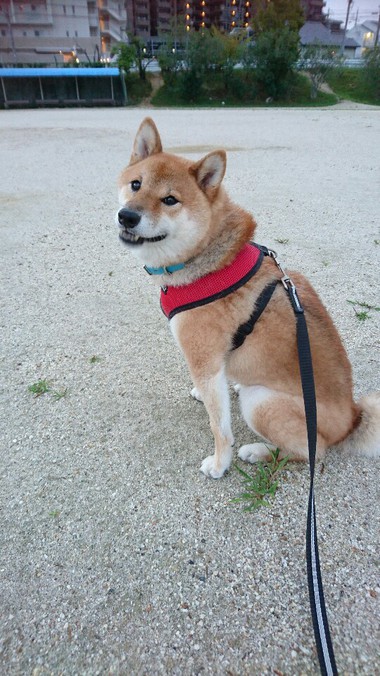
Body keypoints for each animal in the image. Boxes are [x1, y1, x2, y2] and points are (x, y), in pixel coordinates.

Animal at [116, 116, 380, 478]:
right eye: (136, 184)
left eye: (170, 200)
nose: (127, 216)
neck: (207, 260)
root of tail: (351, 418)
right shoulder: (212, 365)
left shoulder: (204, 360)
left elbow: (220, 427)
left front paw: (219, 463)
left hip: (261, 402)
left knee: (312, 451)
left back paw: (258, 451)